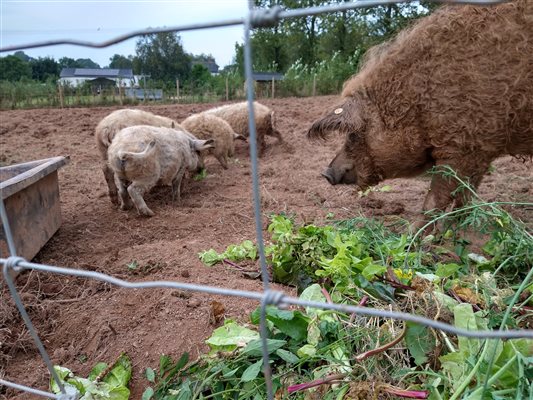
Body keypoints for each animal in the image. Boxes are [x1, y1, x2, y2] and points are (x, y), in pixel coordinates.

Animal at [308, 0, 532, 227]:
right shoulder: (481, 150)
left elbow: (436, 198)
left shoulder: (463, 146)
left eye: (353, 134)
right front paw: (460, 225)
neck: (417, 101)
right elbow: (466, 194)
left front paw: (415, 234)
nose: (326, 173)